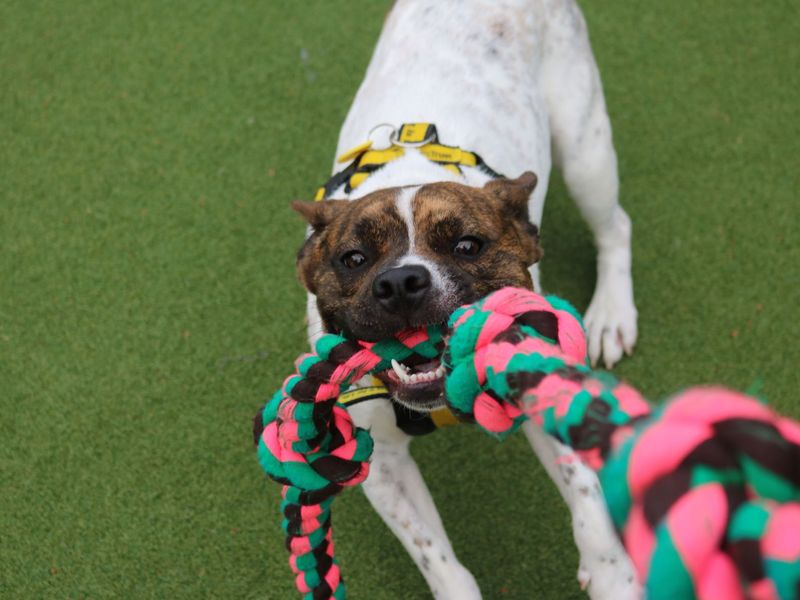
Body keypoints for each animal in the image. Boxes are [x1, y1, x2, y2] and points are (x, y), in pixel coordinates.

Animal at [290, 2, 640, 596]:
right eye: (354, 259)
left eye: (467, 245)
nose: (401, 283)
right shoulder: (382, 462)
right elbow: (437, 557)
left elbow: (587, 498)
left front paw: (613, 575)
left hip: (585, 148)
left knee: (614, 225)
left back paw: (612, 314)